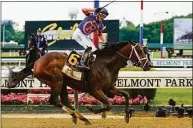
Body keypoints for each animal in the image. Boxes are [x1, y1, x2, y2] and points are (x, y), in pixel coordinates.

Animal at [7, 40, 152, 124]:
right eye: (140, 50)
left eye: (146, 51)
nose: (149, 65)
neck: (106, 64)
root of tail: (37, 61)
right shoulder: (94, 90)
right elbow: (109, 104)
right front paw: (92, 108)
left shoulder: (109, 88)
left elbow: (126, 95)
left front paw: (127, 114)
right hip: (56, 81)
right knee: (54, 100)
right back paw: (79, 116)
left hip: (62, 83)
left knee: (64, 101)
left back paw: (80, 117)